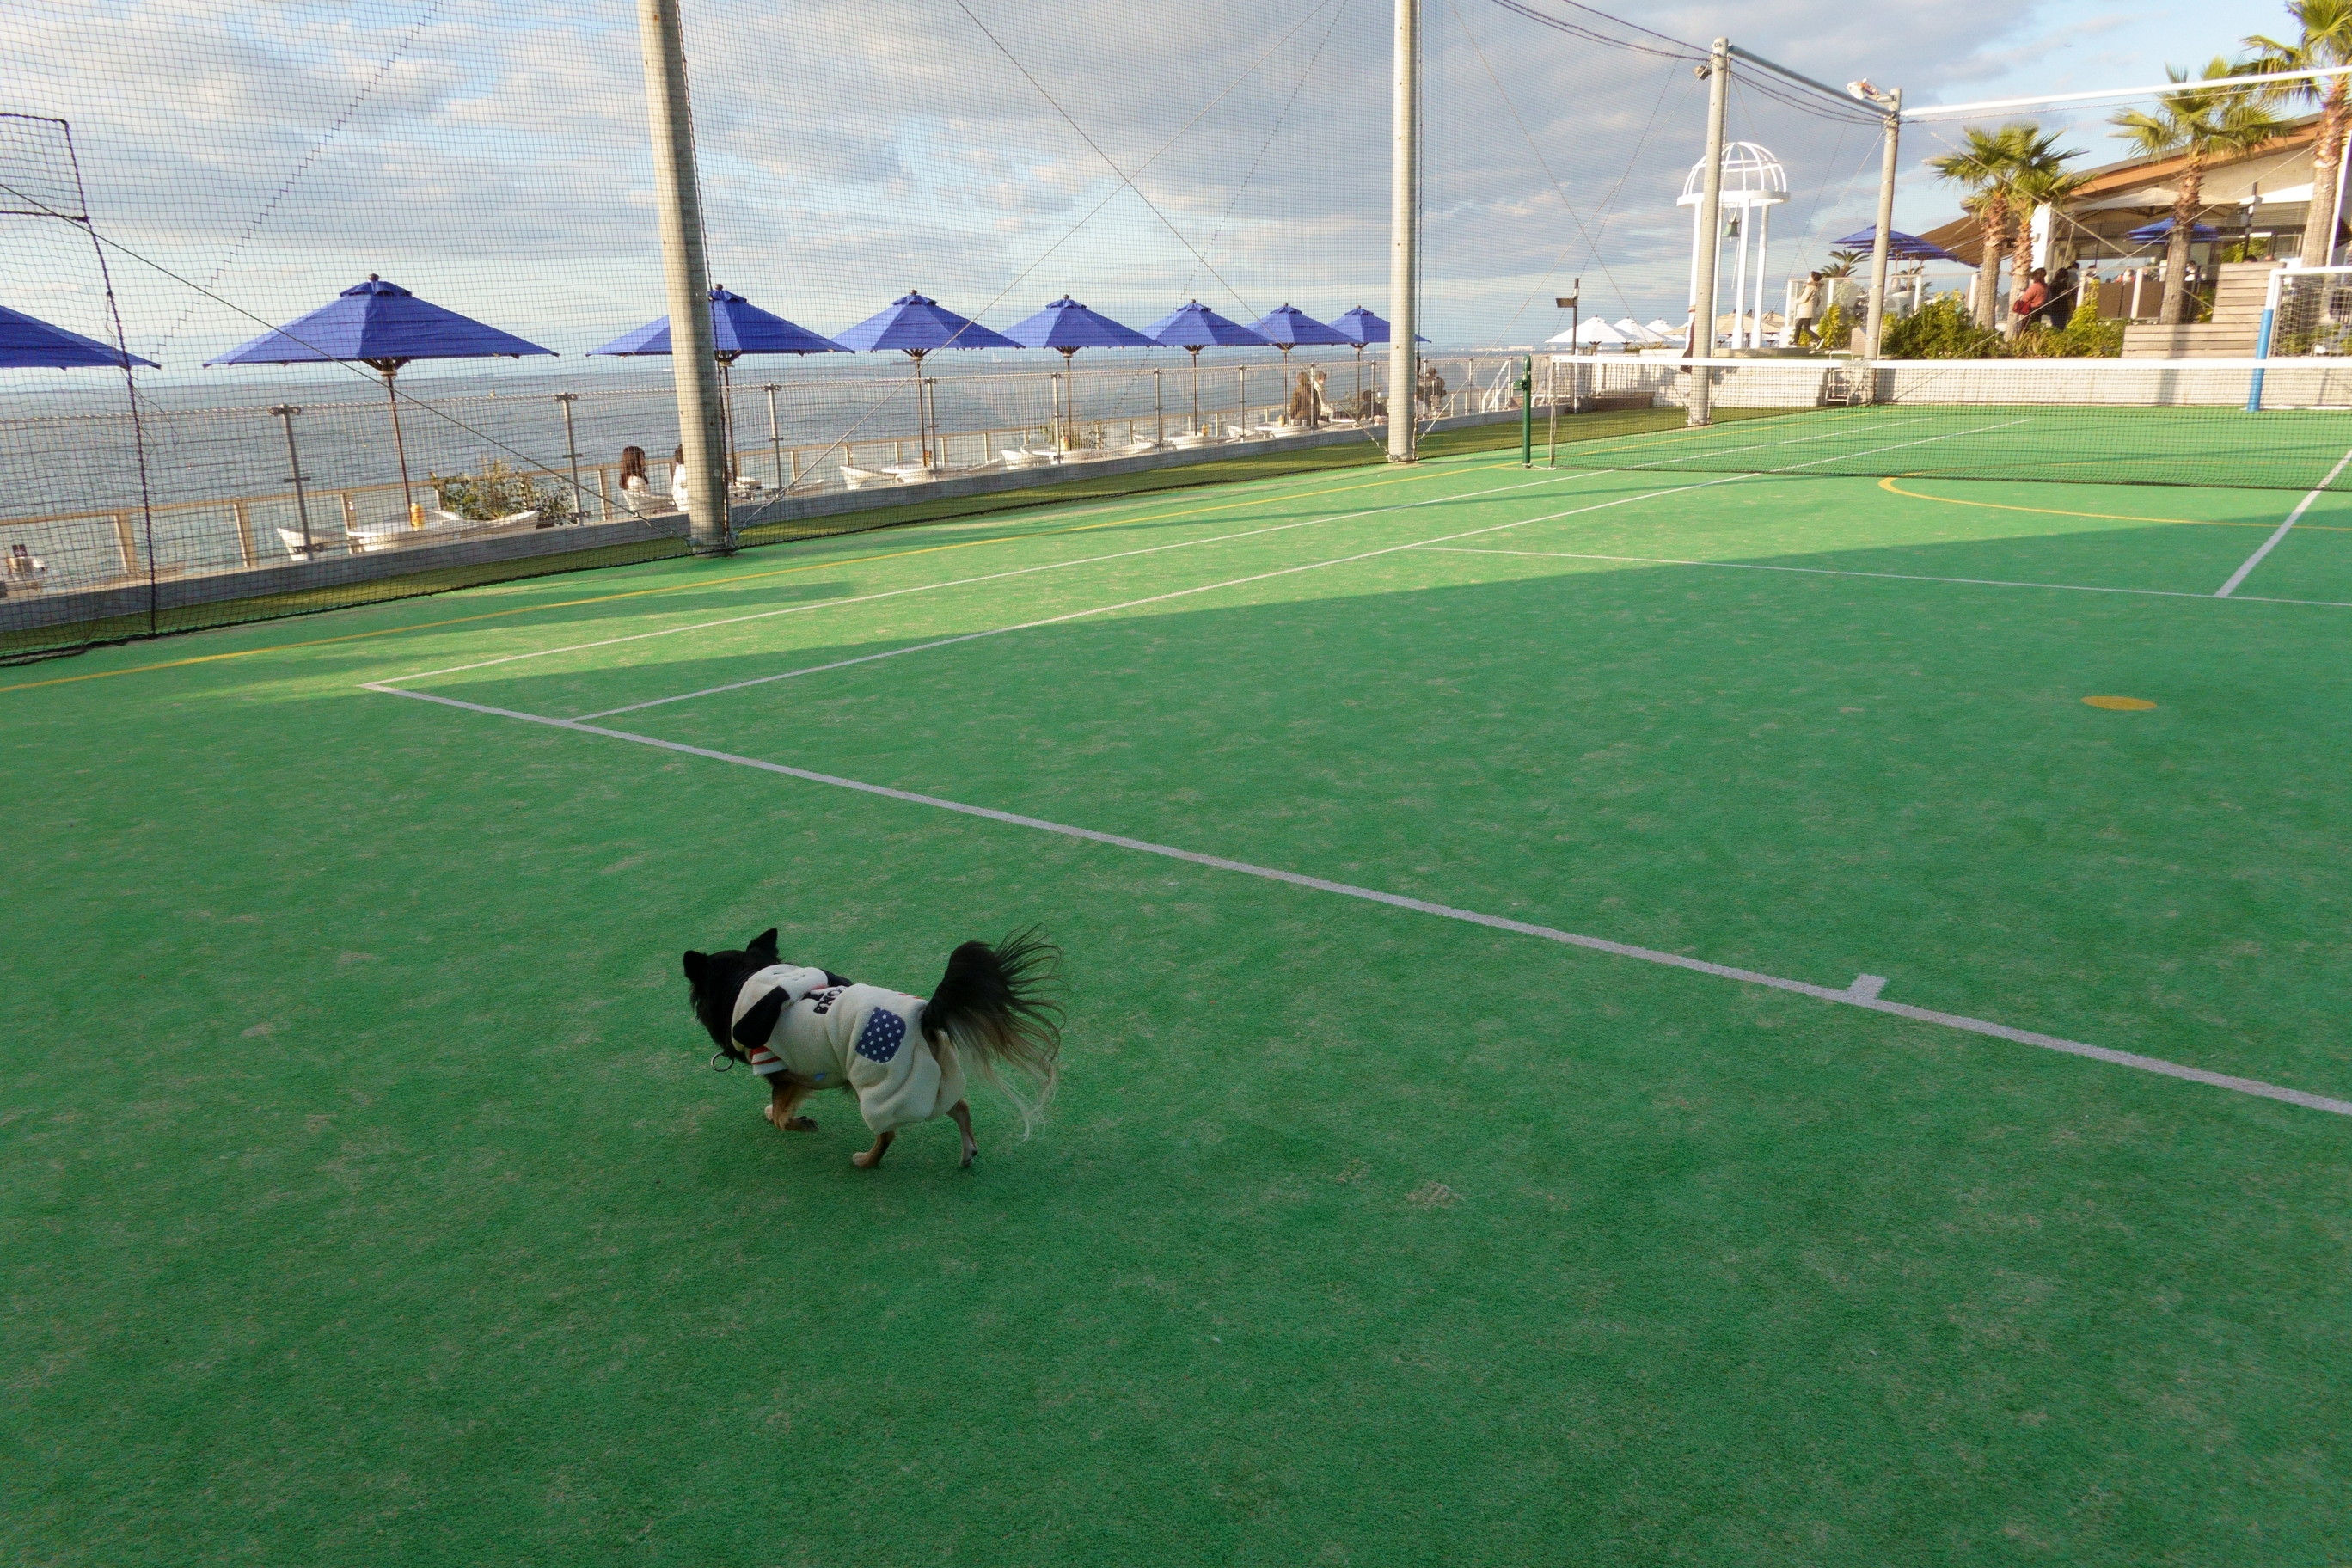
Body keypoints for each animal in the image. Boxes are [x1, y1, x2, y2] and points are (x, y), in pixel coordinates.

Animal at [686, 926, 1063, 1170]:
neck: (748, 981)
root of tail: (924, 1015)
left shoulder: (783, 1073)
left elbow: (782, 1116)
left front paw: (800, 1122)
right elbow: (777, 1110)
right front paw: (776, 1113)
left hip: (875, 1085)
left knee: (888, 1134)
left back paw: (866, 1161)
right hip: (931, 1077)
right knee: (959, 1106)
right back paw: (967, 1152)